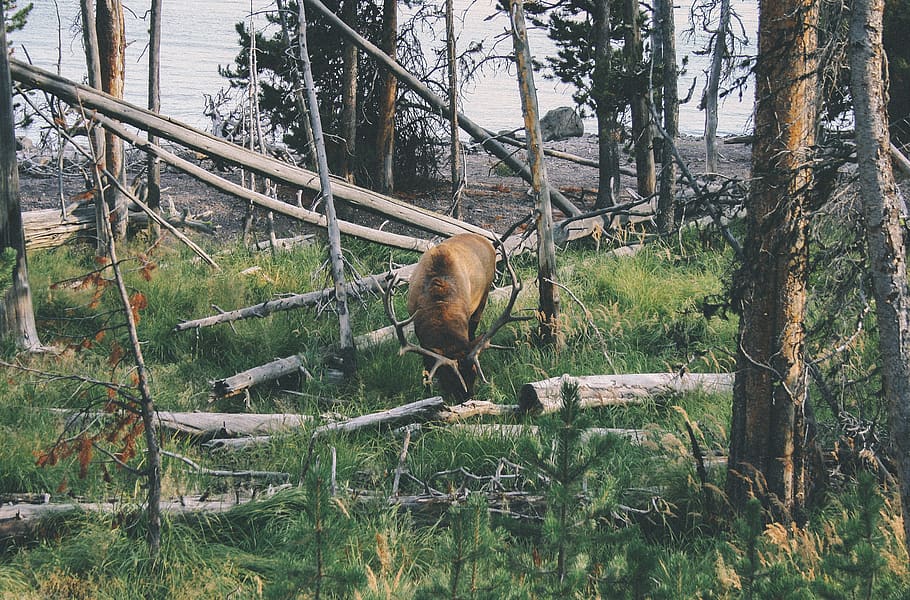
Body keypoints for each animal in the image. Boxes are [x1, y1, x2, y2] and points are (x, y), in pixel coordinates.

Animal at [383, 232, 525, 402]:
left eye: (474, 374)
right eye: (449, 379)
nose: (469, 399)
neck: (438, 301)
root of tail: (488, 242)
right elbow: (427, 365)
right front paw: (427, 391)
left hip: (484, 295)